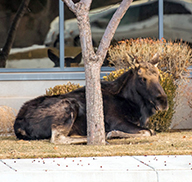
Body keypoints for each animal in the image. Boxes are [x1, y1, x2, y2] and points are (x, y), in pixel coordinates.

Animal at [13, 53, 168, 144]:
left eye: (159, 76)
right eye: (142, 78)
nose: (163, 102)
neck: (135, 106)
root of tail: (18, 125)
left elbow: (150, 131)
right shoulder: (117, 120)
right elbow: (149, 131)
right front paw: (113, 133)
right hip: (69, 106)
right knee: (57, 138)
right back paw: (101, 135)